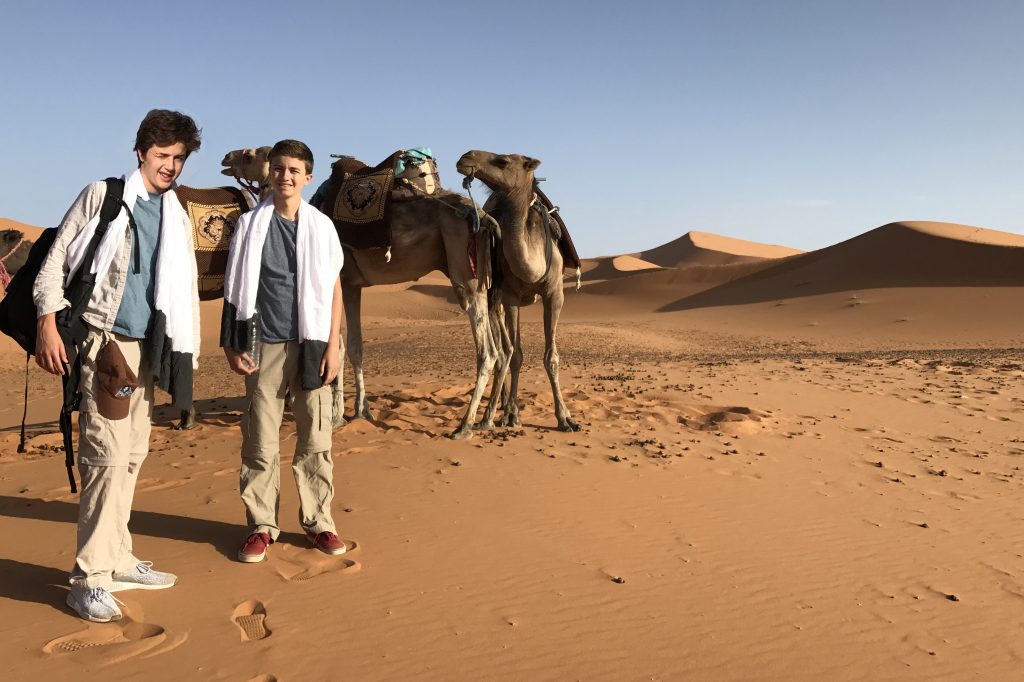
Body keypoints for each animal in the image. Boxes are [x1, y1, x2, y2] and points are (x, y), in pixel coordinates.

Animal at [221, 146, 499, 438]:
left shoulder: (341, 280)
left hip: (464, 272)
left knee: (488, 350)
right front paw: (360, 410)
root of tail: (482, 216)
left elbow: (340, 345)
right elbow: (355, 346)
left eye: (249, 155)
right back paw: (487, 420)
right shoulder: (353, 285)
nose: (227, 157)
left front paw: (337, 416)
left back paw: (465, 425)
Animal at [458, 151, 581, 432]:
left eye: (502, 161)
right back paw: (500, 407)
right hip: (495, 299)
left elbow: (551, 357)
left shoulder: (554, 294)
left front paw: (566, 418)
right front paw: (511, 414)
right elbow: (516, 355)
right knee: (503, 351)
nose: (465, 157)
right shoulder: (511, 297)